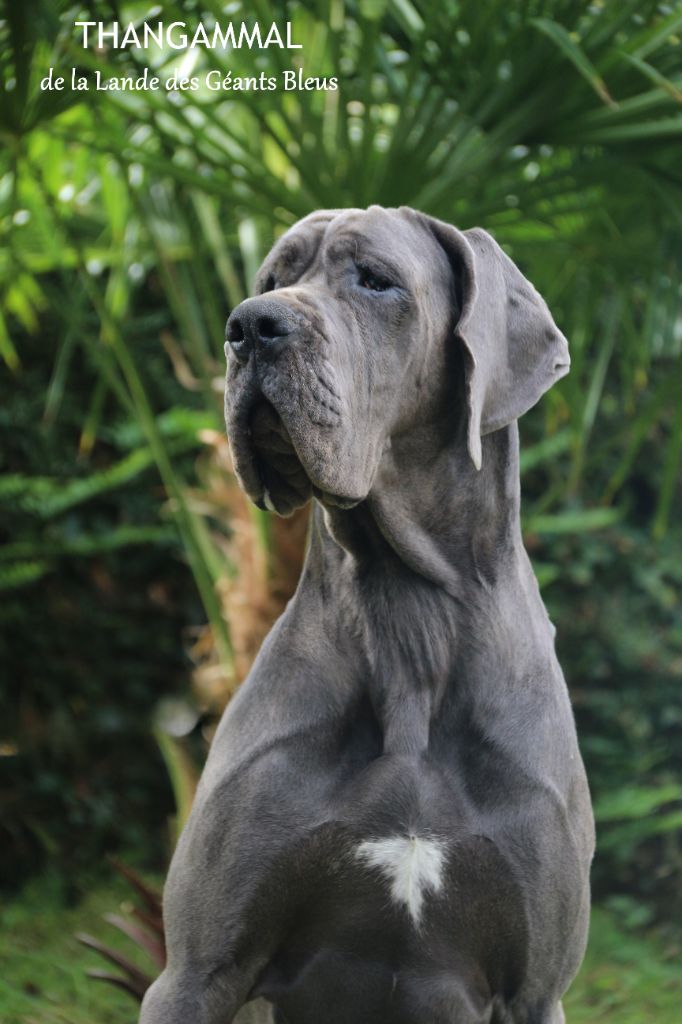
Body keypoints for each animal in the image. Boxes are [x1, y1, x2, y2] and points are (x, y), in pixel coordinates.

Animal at [139, 205, 593, 1024]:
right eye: (274, 277)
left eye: (376, 280)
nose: (249, 325)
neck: (411, 611)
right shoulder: (194, 972)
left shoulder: (534, 991)